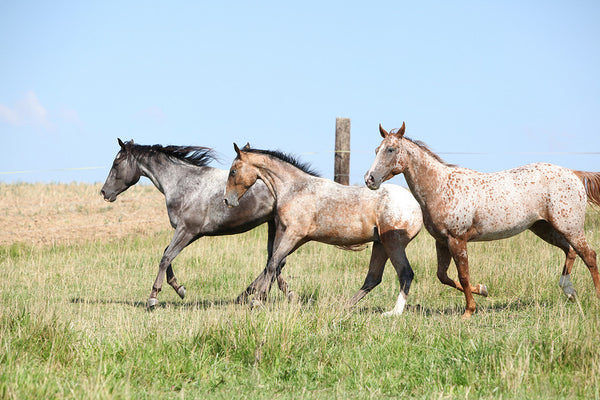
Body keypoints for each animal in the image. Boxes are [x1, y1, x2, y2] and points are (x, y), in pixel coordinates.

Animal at [221, 144, 422, 316]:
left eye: (233, 171)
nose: (227, 200)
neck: (294, 189)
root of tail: (417, 207)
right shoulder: (291, 235)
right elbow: (275, 263)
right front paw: (255, 296)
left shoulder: (293, 234)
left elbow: (273, 264)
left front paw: (258, 300)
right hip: (380, 245)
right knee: (373, 278)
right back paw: (343, 307)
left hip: (393, 244)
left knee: (405, 273)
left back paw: (393, 313)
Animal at [364, 122, 600, 318]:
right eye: (376, 150)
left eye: (390, 149)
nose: (370, 179)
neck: (440, 187)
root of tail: (574, 174)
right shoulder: (442, 241)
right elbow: (443, 276)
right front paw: (483, 290)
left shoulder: (457, 240)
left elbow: (463, 275)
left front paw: (469, 311)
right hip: (544, 228)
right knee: (570, 251)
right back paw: (569, 291)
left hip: (569, 227)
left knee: (588, 255)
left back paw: (595, 298)